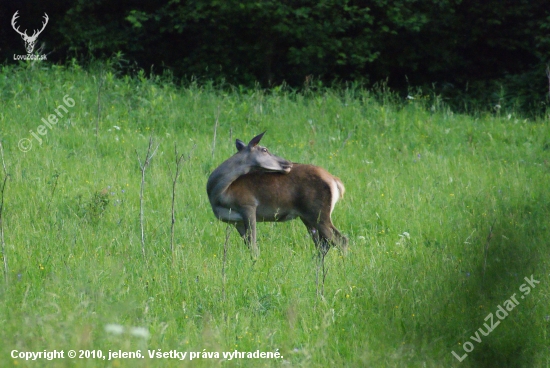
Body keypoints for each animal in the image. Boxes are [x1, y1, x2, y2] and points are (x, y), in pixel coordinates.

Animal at [207, 131, 350, 264]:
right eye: (265, 149)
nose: (288, 163)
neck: (221, 193)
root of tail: (335, 180)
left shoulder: (248, 205)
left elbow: (253, 246)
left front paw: (255, 263)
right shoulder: (237, 221)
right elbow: (249, 245)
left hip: (319, 212)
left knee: (340, 240)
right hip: (308, 217)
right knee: (323, 244)